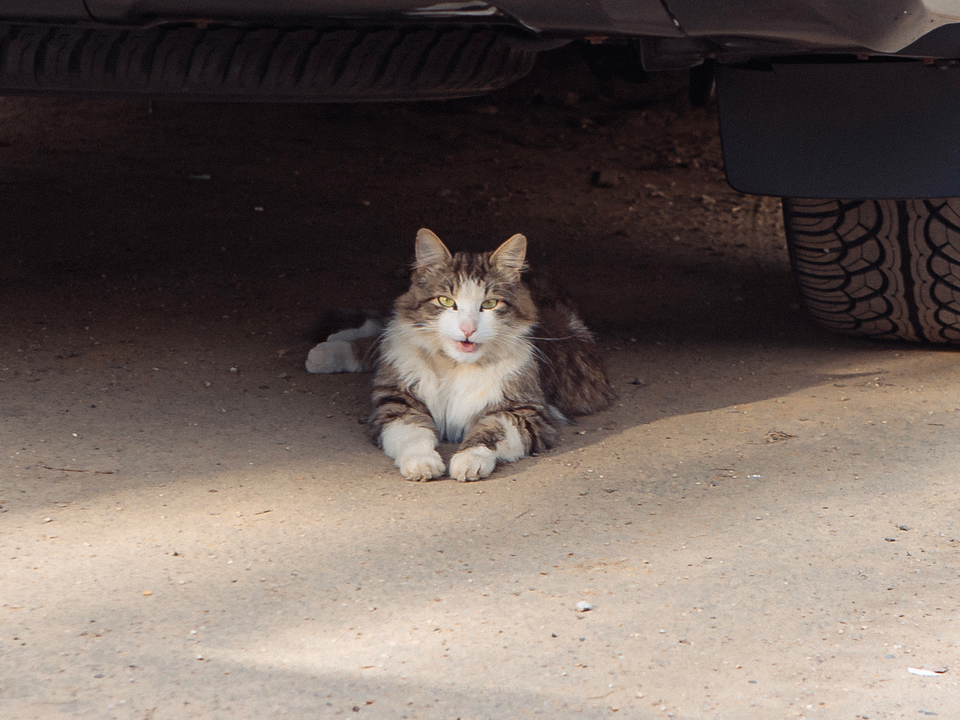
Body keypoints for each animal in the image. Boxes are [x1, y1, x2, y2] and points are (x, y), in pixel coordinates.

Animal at [308, 228, 616, 480]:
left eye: (489, 304)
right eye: (446, 301)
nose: (468, 329)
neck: (454, 365)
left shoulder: (525, 411)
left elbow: (488, 433)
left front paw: (468, 461)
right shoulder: (398, 403)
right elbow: (412, 436)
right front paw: (421, 463)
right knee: (385, 325)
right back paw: (326, 349)